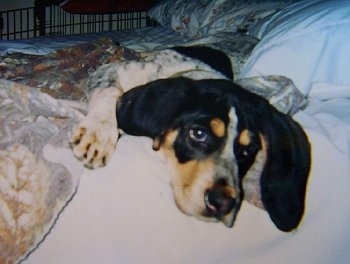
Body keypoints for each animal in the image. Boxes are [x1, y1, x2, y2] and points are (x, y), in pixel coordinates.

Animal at [69, 46, 310, 232]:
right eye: (198, 134)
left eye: (248, 151)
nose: (223, 204)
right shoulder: (109, 72)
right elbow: (110, 92)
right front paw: (98, 133)